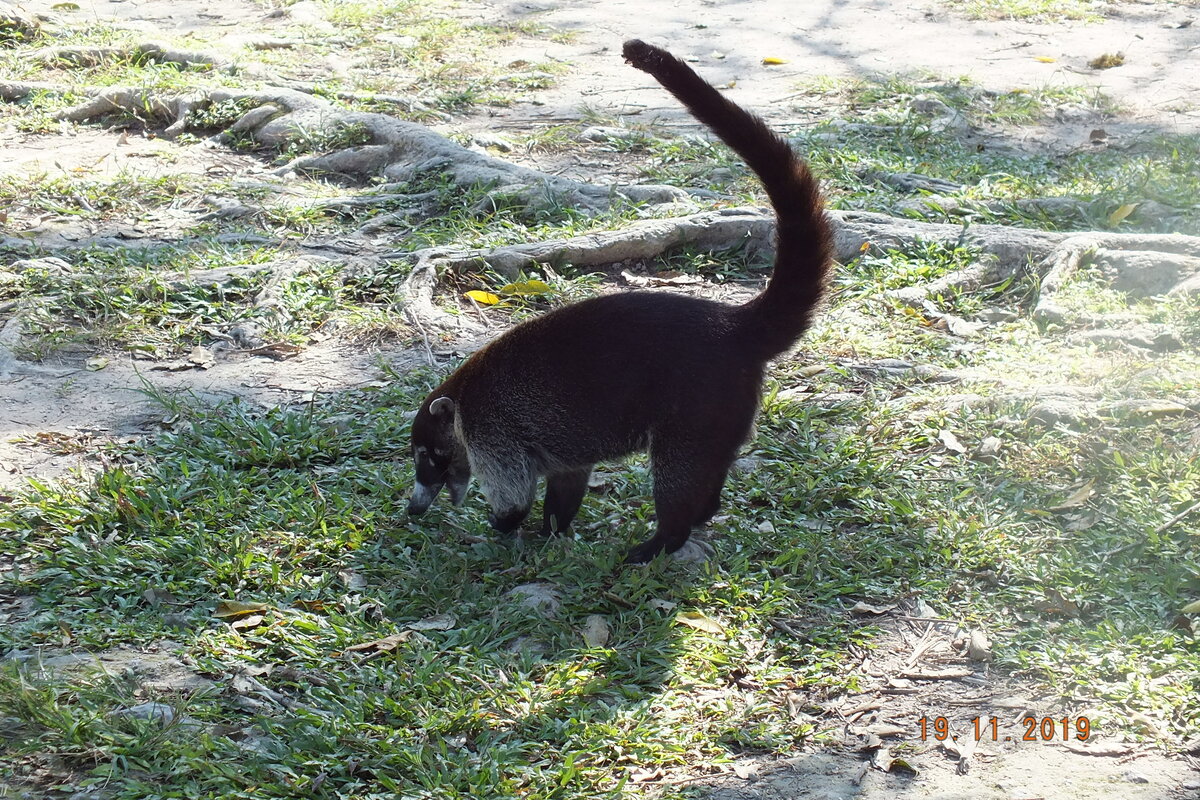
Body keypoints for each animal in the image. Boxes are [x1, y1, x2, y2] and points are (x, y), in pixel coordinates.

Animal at [407, 39, 833, 564]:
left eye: (429, 456)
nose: (413, 509)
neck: (462, 403)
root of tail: (733, 324)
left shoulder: (495, 433)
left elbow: (513, 494)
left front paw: (499, 529)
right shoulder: (561, 454)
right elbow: (566, 484)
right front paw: (553, 530)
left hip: (696, 407)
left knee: (678, 472)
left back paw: (660, 541)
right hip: (726, 411)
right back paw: (700, 517)